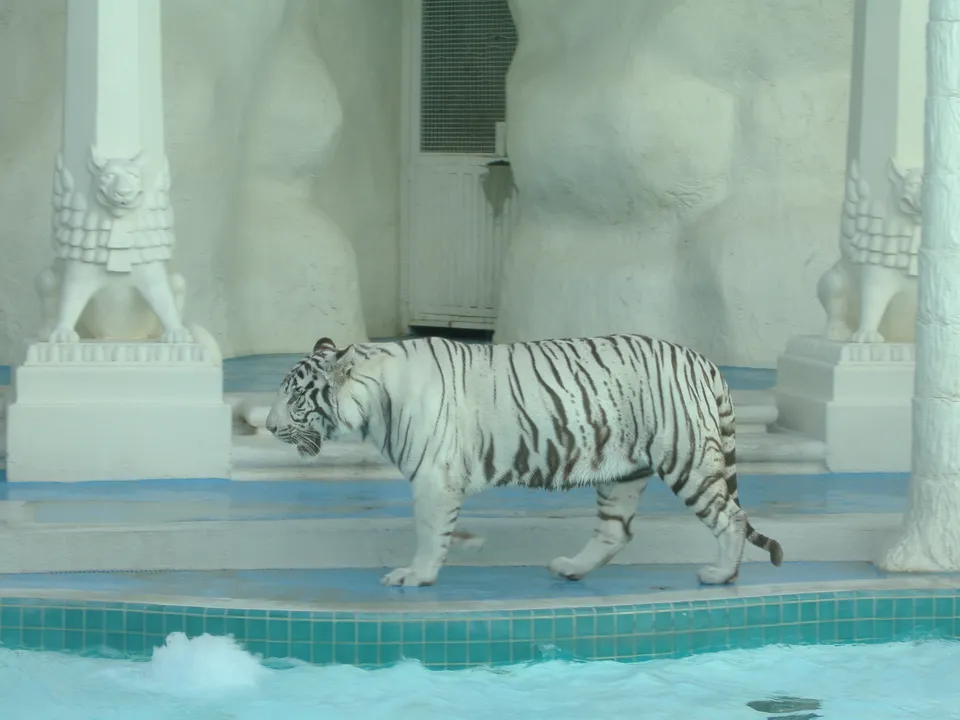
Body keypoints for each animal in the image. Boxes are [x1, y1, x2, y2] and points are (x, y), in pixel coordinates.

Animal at [264, 334, 784, 588]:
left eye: (294, 397)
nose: (268, 426)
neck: (374, 400)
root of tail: (703, 361)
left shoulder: (434, 476)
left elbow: (429, 532)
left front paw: (416, 576)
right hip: (622, 473)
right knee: (615, 532)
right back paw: (570, 569)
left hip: (687, 458)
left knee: (731, 518)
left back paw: (721, 574)